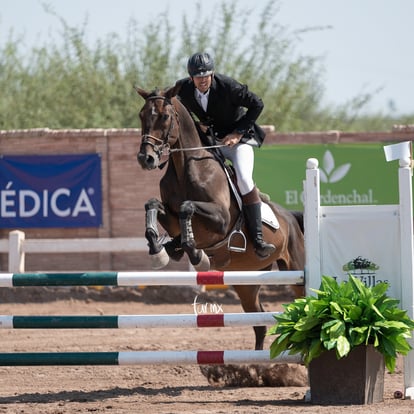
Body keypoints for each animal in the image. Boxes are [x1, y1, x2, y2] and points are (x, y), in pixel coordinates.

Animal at [134, 85, 306, 350]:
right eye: (142, 116)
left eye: (164, 117)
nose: (146, 159)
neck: (186, 166)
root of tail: (291, 218)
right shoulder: (170, 219)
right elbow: (153, 204)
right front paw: (159, 250)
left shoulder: (221, 220)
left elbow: (186, 207)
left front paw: (196, 255)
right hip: (246, 281)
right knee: (259, 322)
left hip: (297, 272)